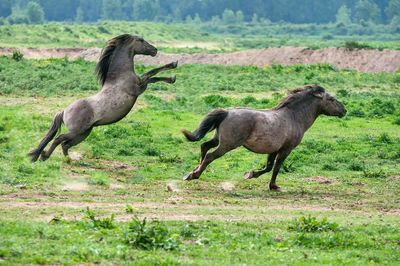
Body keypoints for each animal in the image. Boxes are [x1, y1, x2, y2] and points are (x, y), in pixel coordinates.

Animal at [29, 34, 177, 161]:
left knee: (65, 144)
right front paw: (173, 66)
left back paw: (68, 160)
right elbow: (152, 72)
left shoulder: (142, 86)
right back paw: (44, 156)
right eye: (140, 40)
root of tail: (64, 111)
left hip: (84, 133)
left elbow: (153, 77)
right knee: (58, 139)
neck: (119, 76)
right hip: (77, 131)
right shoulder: (139, 86)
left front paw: (172, 78)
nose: (154, 50)